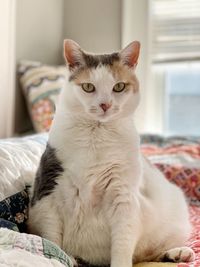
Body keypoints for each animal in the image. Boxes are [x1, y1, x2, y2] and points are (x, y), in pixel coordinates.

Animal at [27, 39, 195, 267]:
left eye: (119, 87)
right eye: (88, 87)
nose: (105, 104)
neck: (97, 136)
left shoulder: (123, 198)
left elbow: (122, 248)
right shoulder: (48, 193)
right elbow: (53, 242)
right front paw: (59, 258)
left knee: (148, 254)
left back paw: (178, 253)